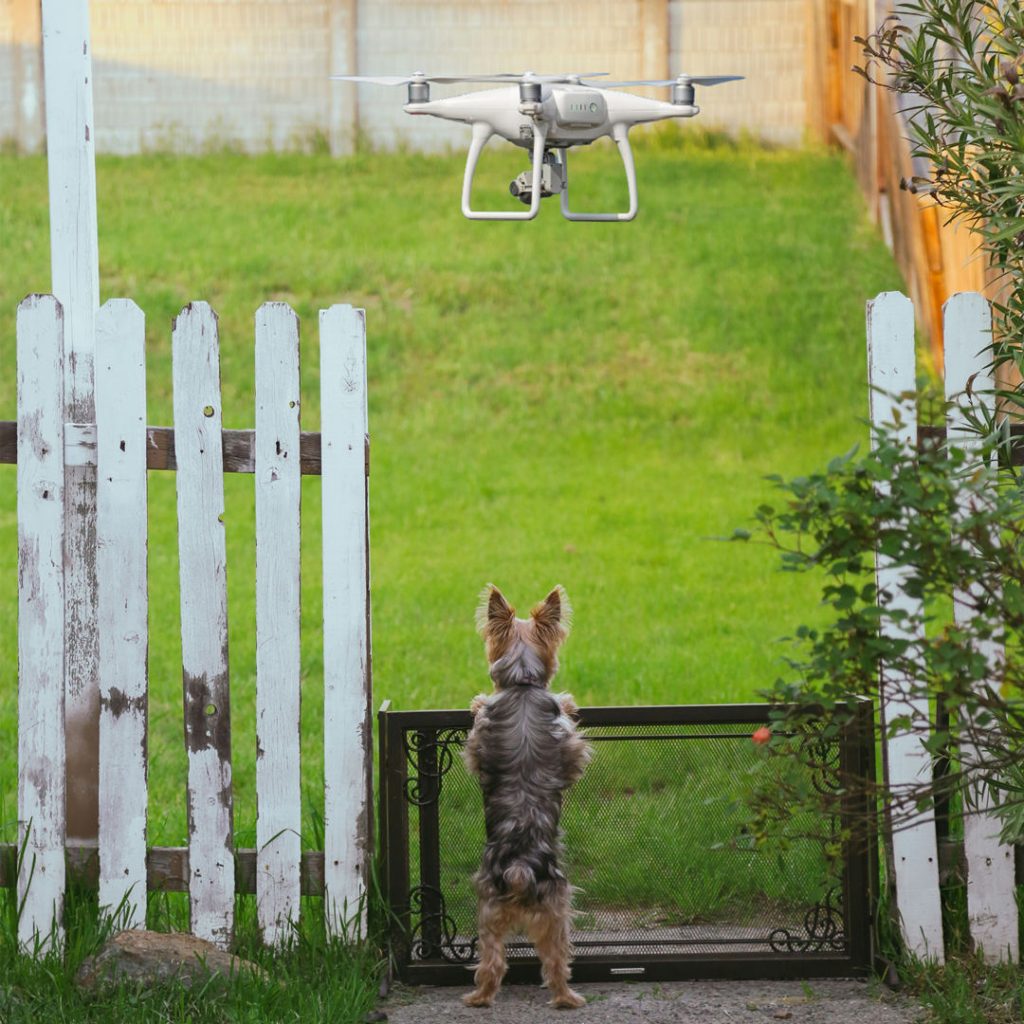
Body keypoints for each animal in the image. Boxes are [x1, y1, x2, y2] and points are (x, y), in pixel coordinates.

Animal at [460, 585, 589, 1007]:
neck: (521, 683)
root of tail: (519, 870)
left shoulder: (478, 743)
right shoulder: (570, 747)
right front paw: (568, 699)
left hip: (488, 910)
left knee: (491, 962)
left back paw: (478, 998)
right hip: (558, 906)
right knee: (556, 960)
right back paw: (568, 998)